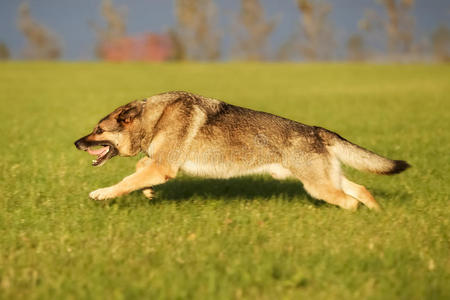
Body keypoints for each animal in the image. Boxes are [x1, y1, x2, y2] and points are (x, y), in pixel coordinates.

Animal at [74, 91, 412, 211]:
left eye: (98, 130)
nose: (76, 143)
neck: (154, 119)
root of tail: (315, 129)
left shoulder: (163, 167)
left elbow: (124, 182)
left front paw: (101, 194)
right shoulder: (159, 164)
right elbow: (137, 173)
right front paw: (148, 193)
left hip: (319, 187)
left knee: (350, 201)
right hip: (326, 180)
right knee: (362, 190)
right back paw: (378, 216)